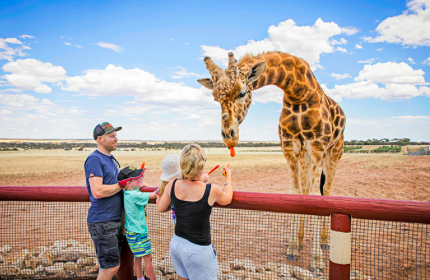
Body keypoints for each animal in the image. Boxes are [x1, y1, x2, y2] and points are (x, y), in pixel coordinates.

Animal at [198, 51, 346, 270]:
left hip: (334, 150)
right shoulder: (290, 148)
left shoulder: (317, 146)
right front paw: (292, 249)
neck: (298, 92)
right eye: (215, 97)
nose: (229, 137)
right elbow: (295, 193)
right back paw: (301, 238)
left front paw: (317, 261)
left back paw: (326, 241)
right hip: (305, 157)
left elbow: (315, 196)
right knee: (304, 189)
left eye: (242, 93)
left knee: (326, 191)